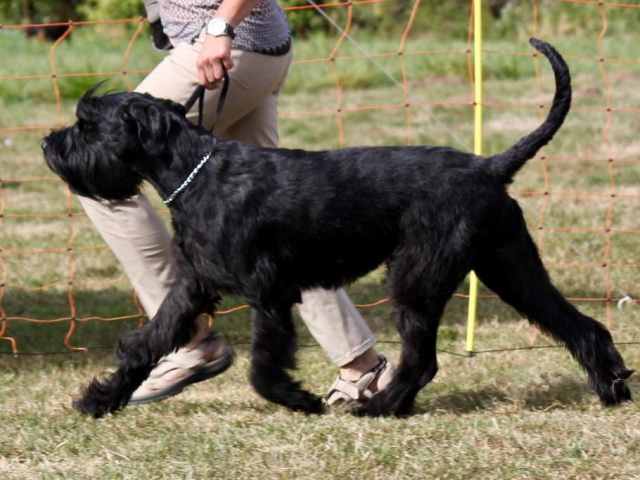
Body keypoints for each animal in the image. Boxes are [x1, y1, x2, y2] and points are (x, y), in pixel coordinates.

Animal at [42, 39, 632, 418]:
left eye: (89, 124)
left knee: (423, 359)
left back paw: (380, 407)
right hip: (511, 268)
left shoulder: (270, 292)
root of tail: (489, 166)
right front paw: (101, 399)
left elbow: (262, 365)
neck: (196, 173)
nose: (49, 144)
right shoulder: (193, 287)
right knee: (581, 326)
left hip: (416, 279)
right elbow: (148, 342)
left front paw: (298, 400)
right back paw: (612, 388)